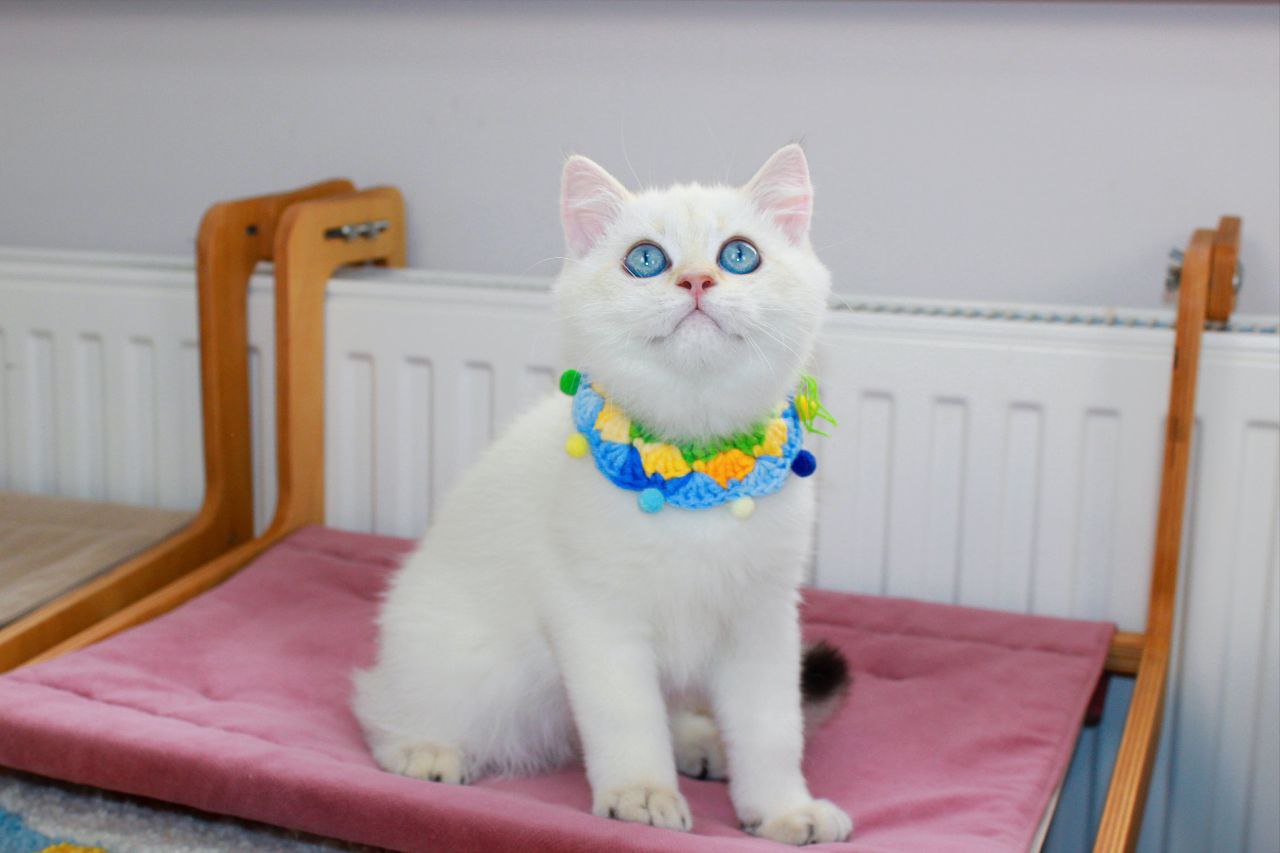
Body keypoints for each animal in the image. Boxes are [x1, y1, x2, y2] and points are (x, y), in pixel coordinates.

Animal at [353, 144, 853, 845]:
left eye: (739, 255)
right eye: (645, 260)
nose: (696, 281)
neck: (691, 468)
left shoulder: (763, 618)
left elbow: (773, 729)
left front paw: (783, 810)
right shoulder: (596, 616)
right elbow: (627, 718)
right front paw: (640, 796)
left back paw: (701, 743)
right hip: (463, 663)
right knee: (379, 702)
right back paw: (422, 749)